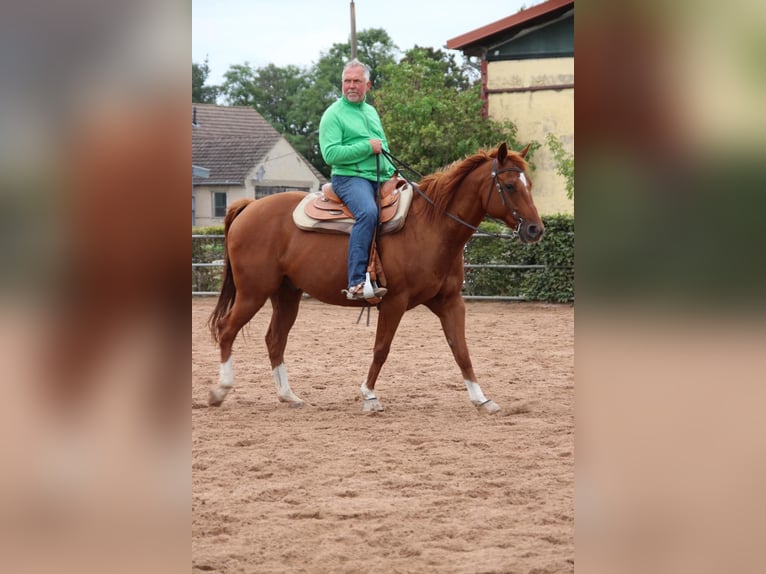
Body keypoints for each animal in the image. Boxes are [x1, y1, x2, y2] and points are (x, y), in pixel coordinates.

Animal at [207, 144, 544, 414]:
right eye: (510, 186)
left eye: (529, 184)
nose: (535, 230)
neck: (431, 227)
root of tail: (249, 207)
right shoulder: (394, 302)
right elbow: (382, 348)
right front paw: (369, 396)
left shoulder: (449, 302)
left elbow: (460, 349)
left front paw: (482, 399)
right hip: (253, 292)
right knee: (226, 329)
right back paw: (219, 391)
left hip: (287, 294)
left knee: (275, 340)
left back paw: (288, 396)